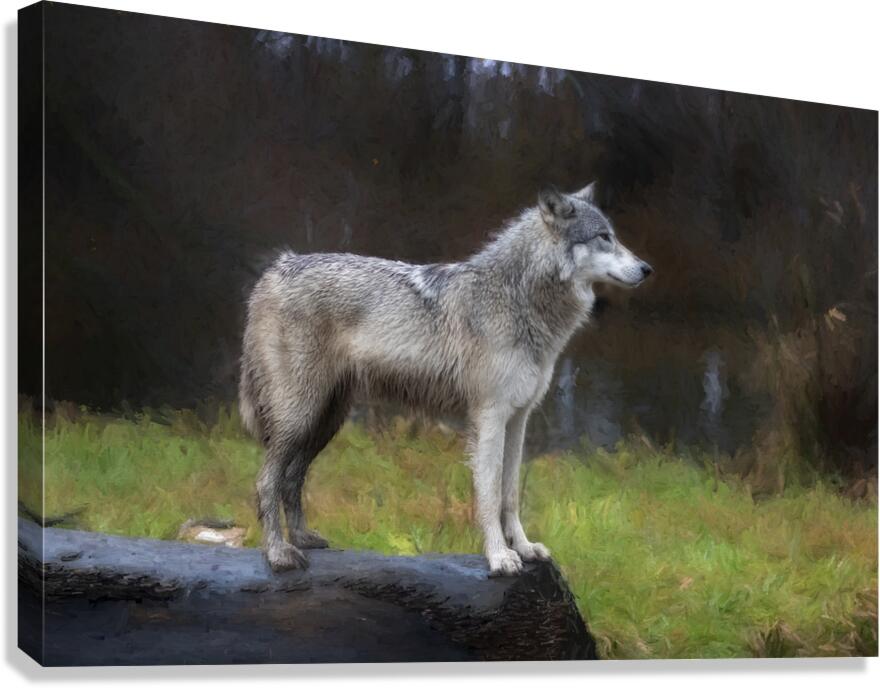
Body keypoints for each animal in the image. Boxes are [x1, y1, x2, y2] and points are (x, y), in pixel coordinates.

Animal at [239, 183, 652, 576]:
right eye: (604, 237)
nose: (647, 268)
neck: (517, 299)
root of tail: (276, 269)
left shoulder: (518, 419)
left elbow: (510, 494)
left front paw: (523, 547)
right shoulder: (489, 418)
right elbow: (489, 495)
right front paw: (499, 557)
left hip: (325, 422)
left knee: (292, 478)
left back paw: (303, 539)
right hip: (300, 418)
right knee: (265, 481)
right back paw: (278, 554)